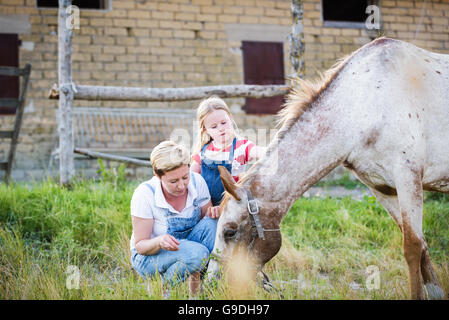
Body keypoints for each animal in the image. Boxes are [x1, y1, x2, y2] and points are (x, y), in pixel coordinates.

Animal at [206, 37, 448, 300]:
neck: (364, 108)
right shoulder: (384, 189)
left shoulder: (408, 178)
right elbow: (422, 245)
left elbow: (412, 247)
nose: (213, 283)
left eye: (229, 232)